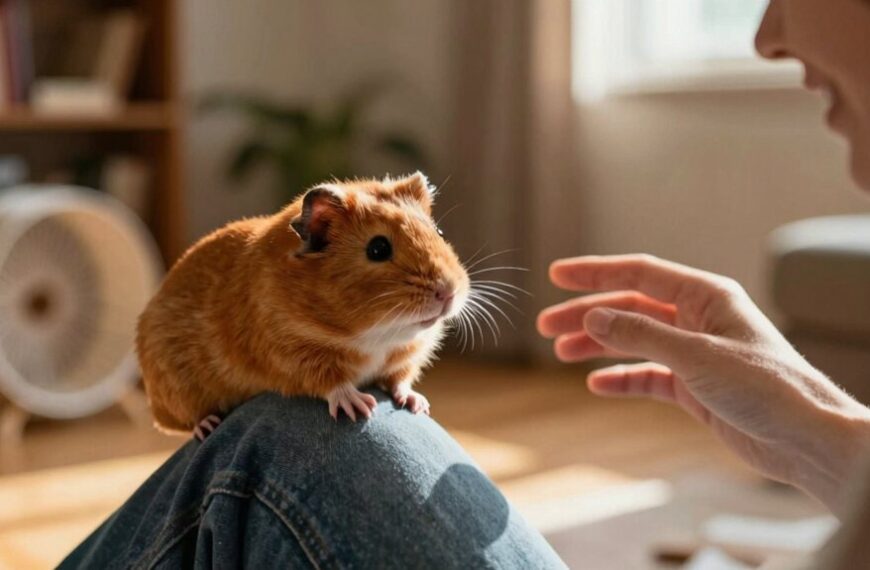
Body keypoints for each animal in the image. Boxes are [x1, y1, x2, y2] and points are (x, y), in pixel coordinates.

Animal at [136, 172, 470, 434]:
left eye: (438, 232)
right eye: (378, 248)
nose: (448, 292)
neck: (378, 334)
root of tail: (154, 408)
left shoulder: (406, 356)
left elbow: (400, 379)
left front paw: (418, 404)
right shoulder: (292, 355)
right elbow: (331, 383)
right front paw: (361, 407)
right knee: (187, 422)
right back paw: (207, 427)